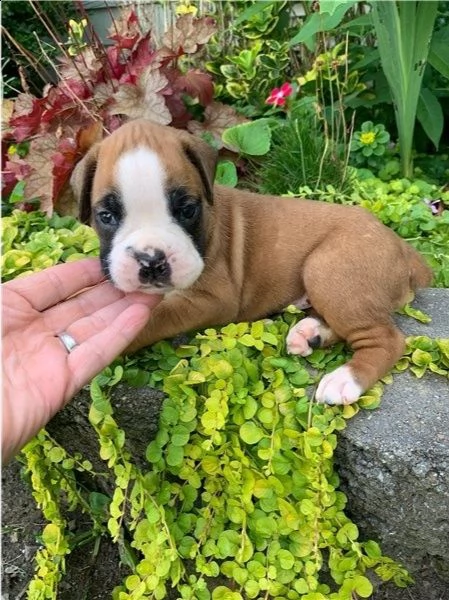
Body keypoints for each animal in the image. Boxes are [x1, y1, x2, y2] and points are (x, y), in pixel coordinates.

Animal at [71, 119, 430, 406]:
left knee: (386, 339)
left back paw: (345, 379)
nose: (151, 260)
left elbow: (156, 317)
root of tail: (401, 245)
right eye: (106, 216)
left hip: (328, 268)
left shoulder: (212, 300)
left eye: (187, 209)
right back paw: (309, 333)